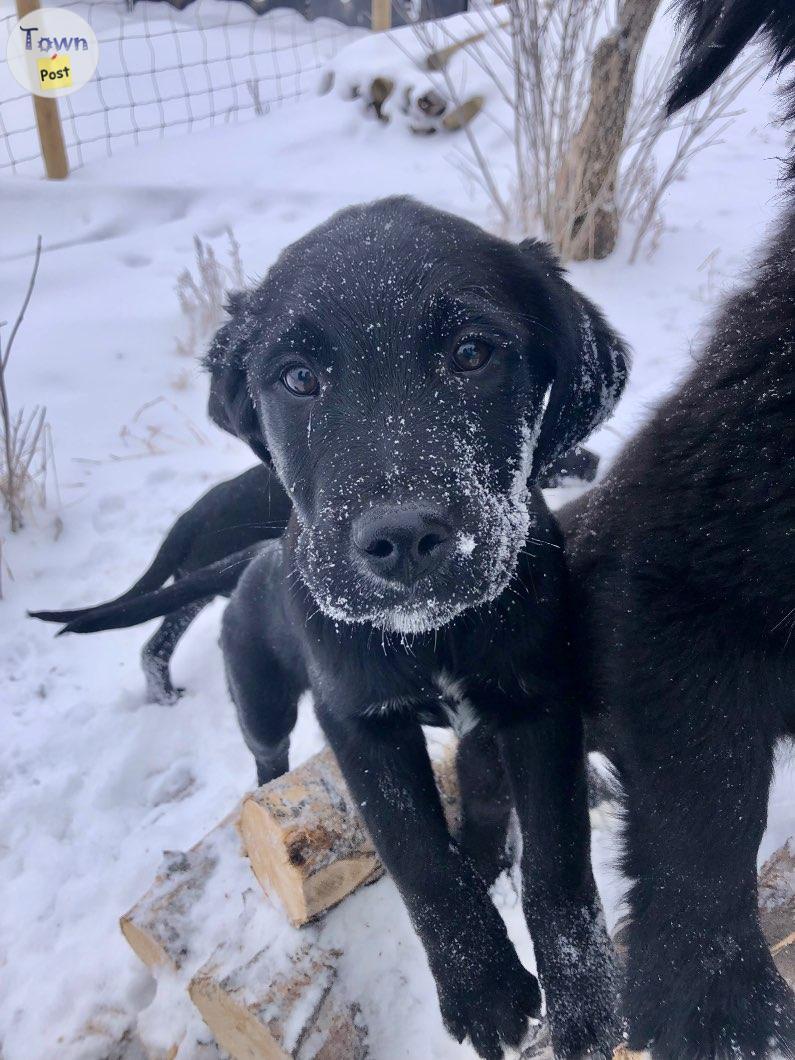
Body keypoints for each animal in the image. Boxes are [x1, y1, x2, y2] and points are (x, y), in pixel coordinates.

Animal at [206, 197, 635, 1051]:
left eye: (473, 354)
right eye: (298, 378)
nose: (401, 539)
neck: (433, 635)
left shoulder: (537, 700)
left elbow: (557, 859)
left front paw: (584, 998)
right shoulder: (358, 720)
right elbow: (420, 859)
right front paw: (483, 990)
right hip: (260, 697)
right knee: (267, 760)